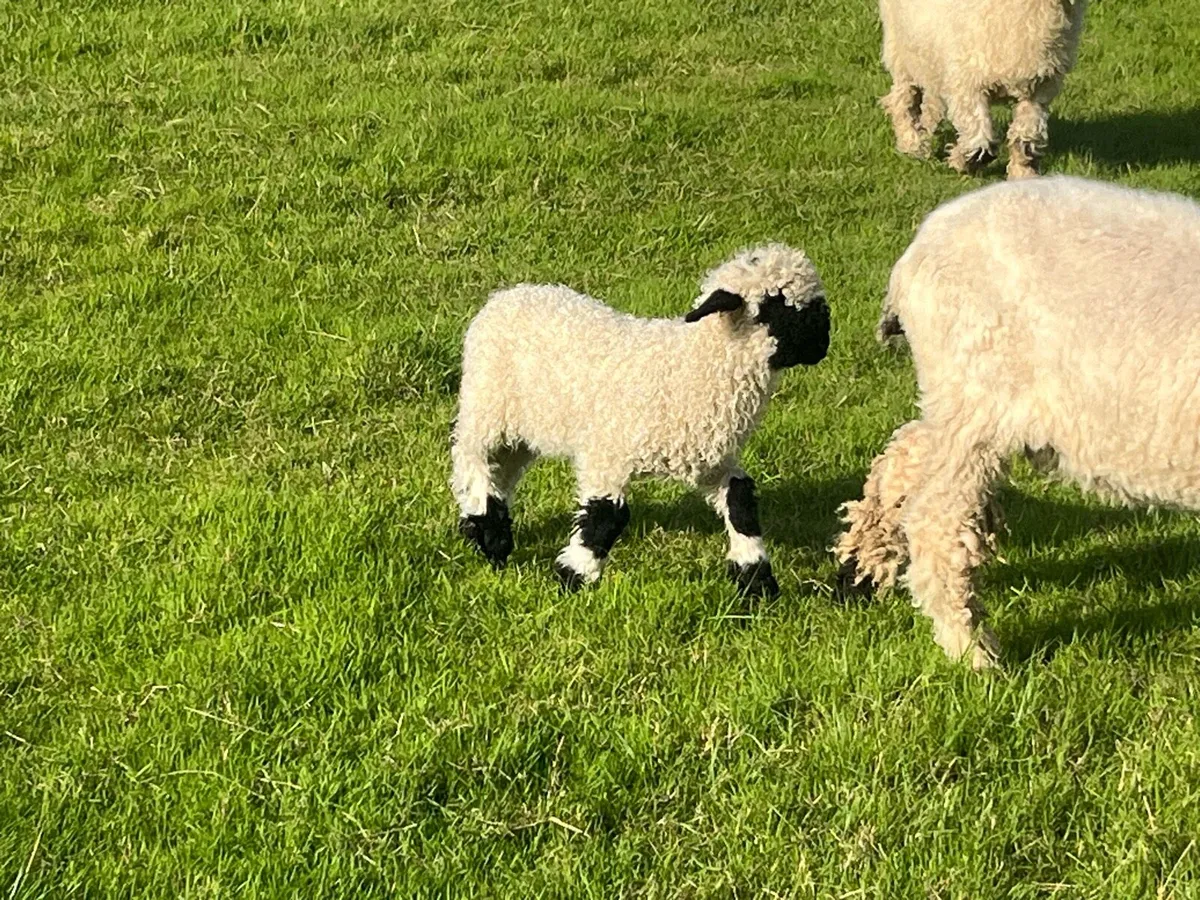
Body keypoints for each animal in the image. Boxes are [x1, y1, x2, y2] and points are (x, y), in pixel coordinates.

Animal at [451, 244, 830, 597]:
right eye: (777, 306)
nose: (824, 343)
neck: (695, 364)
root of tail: (509, 294)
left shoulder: (709, 459)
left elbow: (740, 500)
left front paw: (757, 580)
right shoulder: (607, 454)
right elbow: (606, 517)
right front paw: (573, 577)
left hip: (524, 429)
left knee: (501, 471)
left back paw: (485, 530)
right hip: (486, 406)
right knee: (471, 458)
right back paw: (490, 533)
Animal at [833, 176, 1200, 668]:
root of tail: (918, 248)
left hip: (957, 398)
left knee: (903, 456)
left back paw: (865, 565)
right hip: (977, 394)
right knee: (936, 520)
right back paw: (972, 650)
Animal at [878, 0, 1087, 178]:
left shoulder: (1039, 90)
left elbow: (1026, 137)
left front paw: (1024, 175)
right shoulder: (967, 81)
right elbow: (980, 137)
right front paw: (961, 162)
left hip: (931, 60)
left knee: (930, 101)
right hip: (902, 50)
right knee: (902, 101)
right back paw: (912, 143)